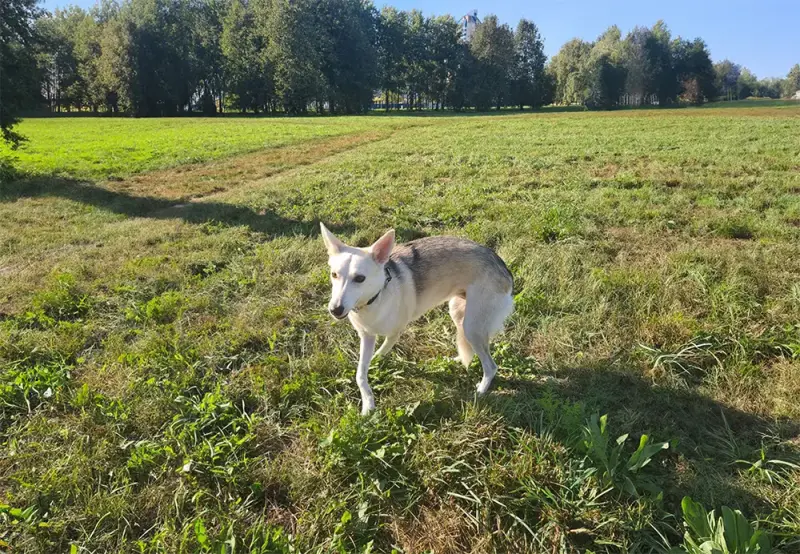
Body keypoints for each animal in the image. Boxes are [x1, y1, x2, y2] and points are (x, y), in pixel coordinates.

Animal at [322, 222, 516, 412]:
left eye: (360, 278)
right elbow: (360, 374)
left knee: (490, 366)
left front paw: (377, 364)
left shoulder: (395, 333)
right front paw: (368, 404)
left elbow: (381, 351)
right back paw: (455, 360)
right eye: (334, 275)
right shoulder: (367, 336)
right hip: (457, 313)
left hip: (472, 327)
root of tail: (503, 267)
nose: (335, 310)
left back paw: (481, 390)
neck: (376, 297)